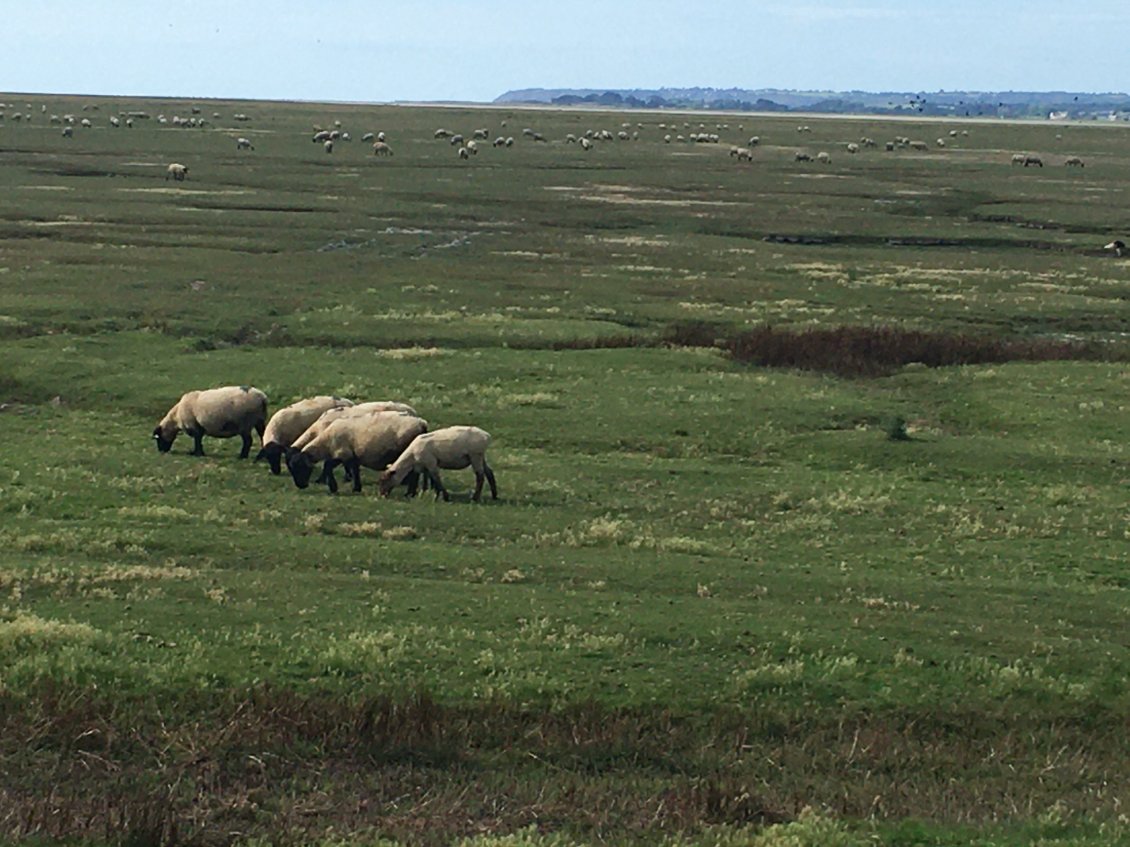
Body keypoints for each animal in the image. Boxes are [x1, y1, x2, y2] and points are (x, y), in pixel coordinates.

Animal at [287, 413, 427, 494]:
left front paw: (333, 488)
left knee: (413, 474)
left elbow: (327, 466)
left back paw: (410, 492)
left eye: (300, 467)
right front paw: (356, 488)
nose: (301, 486)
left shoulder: (343, 454)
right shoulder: (353, 457)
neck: (327, 441)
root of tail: (421, 423)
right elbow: (355, 470)